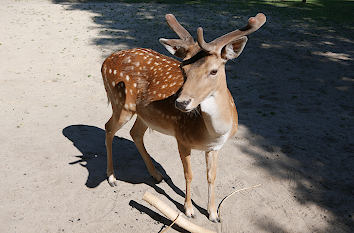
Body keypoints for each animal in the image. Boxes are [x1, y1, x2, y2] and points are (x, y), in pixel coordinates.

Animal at [100, 12, 266, 222]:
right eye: (182, 69)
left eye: (214, 71)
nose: (181, 103)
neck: (213, 133)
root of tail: (105, 61)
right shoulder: (181, 138)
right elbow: (189, 174)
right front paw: (189, 210)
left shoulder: (215, 147)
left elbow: (211, 176)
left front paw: (213, 214)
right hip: (121, 104)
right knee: (108, 127)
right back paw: (112, 177)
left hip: (144, 114)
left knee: (135, 133)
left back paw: (156, 175)